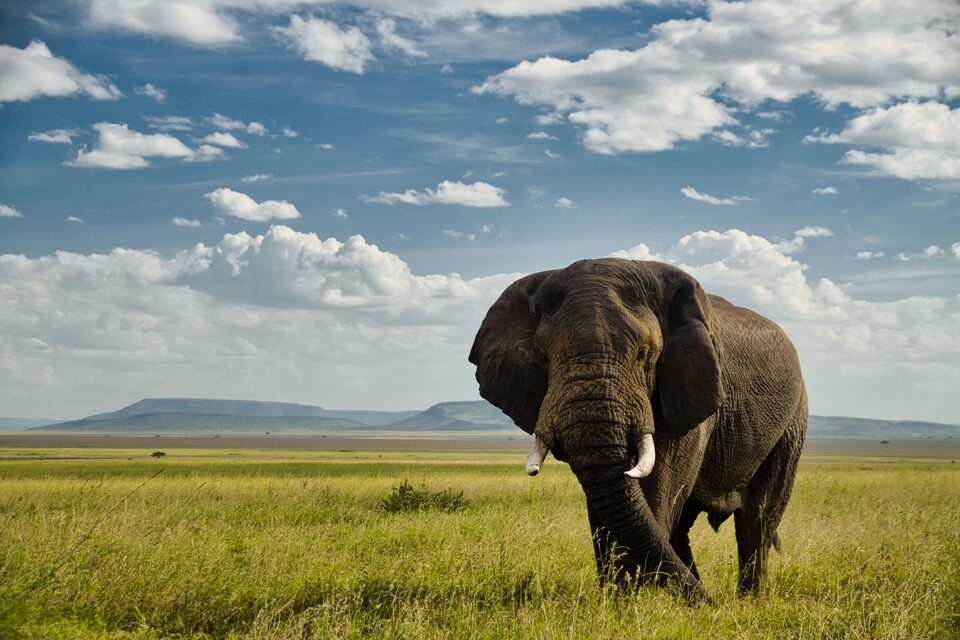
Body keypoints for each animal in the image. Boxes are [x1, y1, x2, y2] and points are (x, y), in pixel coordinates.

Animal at [469, 258, 807, 602]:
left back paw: (748, 601)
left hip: (793, 418)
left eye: (643, 354)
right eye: (543, 357)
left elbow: (658, 485)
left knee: (758, 518)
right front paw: (618, 599)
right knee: (685, 524)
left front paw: (635, 599)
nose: (714, 605)